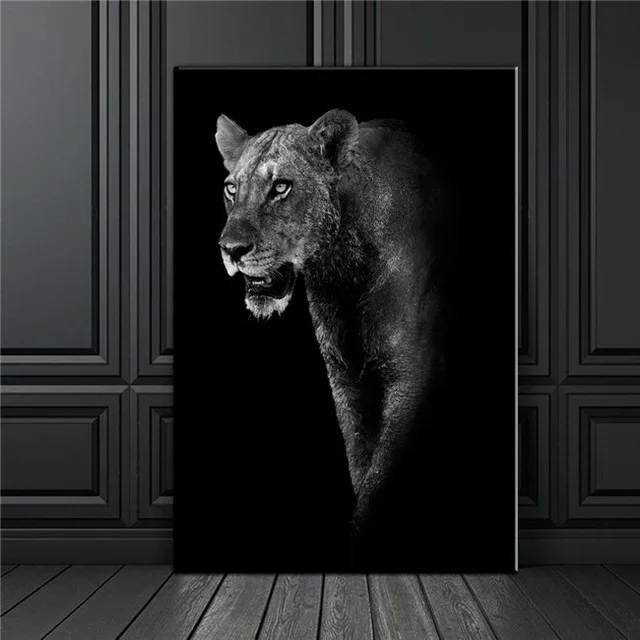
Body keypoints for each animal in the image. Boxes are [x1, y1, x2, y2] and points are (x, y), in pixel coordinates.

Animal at [215, 108, 452, 558]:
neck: (342, 269)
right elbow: (361, 462)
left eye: (281, 186)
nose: (231, 249)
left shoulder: (411, 376)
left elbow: (379, 480)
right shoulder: (344, 377)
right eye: (231, 188)